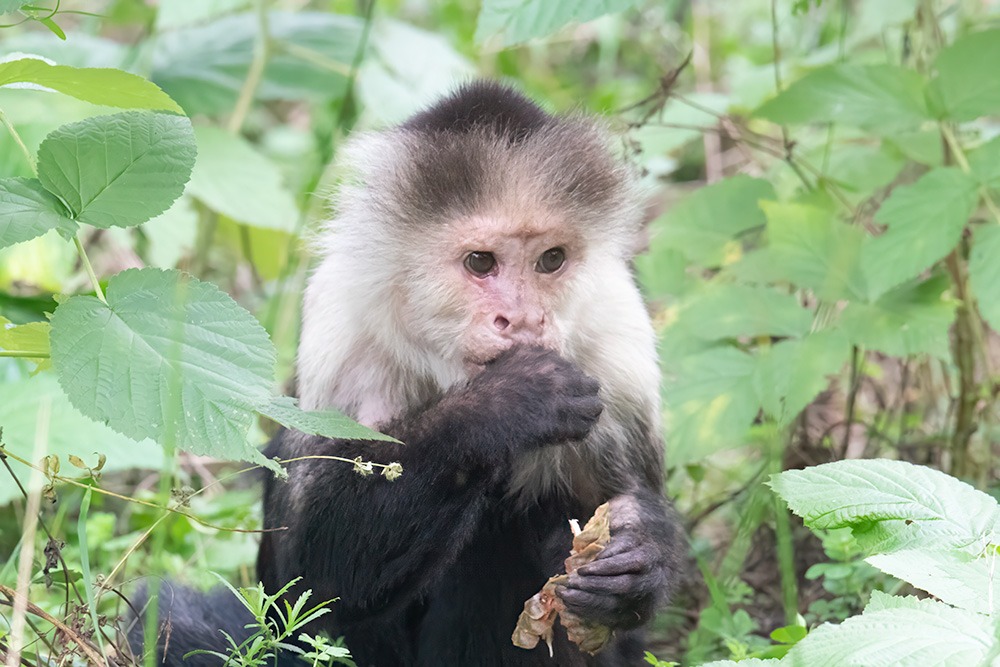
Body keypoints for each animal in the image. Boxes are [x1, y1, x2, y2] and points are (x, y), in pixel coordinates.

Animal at [131, 82, 680, 667]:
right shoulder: (343, 321)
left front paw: (635, 558)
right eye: (481, 262)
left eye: (551, 260)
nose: (526, 319)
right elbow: (313, 575)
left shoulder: (620, 339)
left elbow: (621, 503)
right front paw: (505, 405)